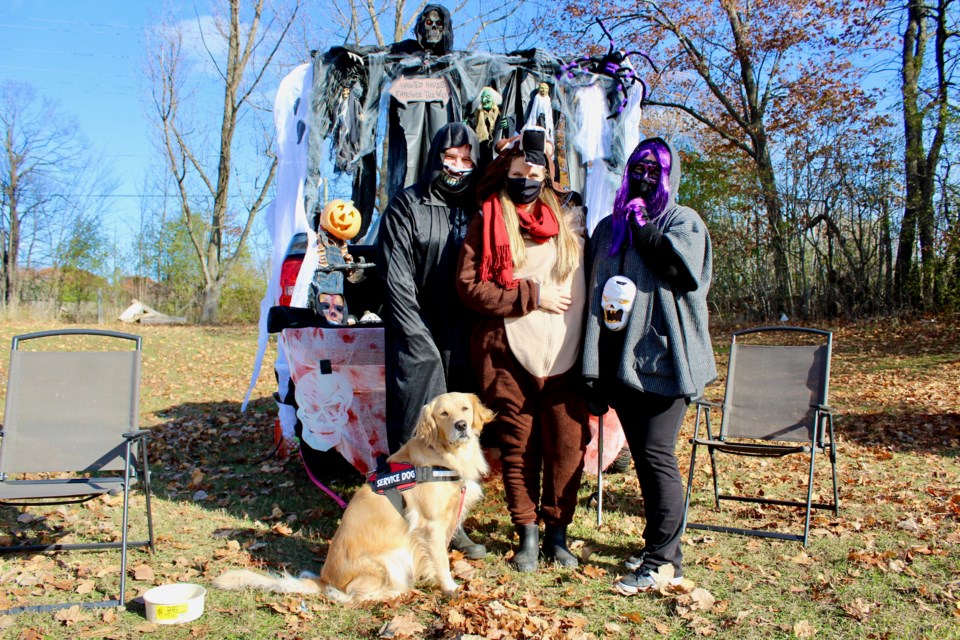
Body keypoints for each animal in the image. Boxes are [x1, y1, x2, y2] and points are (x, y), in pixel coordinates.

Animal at [214, 390, 492, 604]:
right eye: (443, 413)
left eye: (464, 408)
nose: (461, 425)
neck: (444, 455)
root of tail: (324, 579)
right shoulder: (430, 524)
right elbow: (441, 561)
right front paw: (451, 588)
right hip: (390, 558)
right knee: (349, 596)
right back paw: (394, 594)